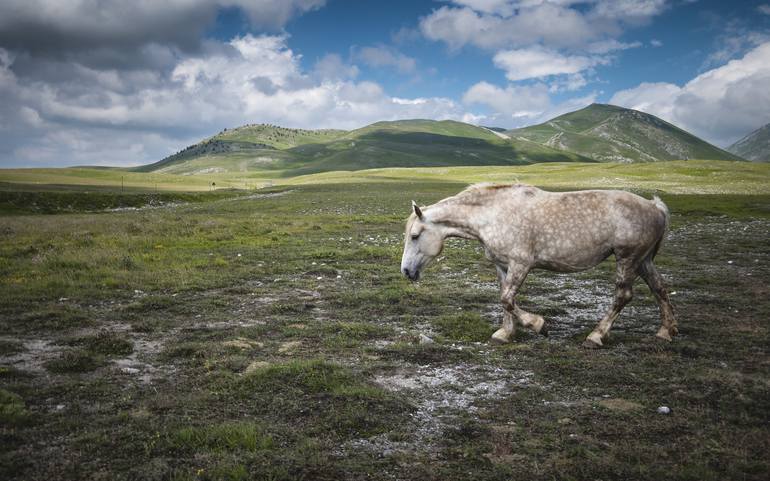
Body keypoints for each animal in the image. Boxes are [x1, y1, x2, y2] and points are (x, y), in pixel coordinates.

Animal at [400, 182, 676, 346]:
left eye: (414, 236)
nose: (406, 271)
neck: (492, 215)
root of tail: (656, 207)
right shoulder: (503, 266)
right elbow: (505, 298)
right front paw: (505, 333)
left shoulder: (521, 264)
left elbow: (507, 299)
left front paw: (539, 325)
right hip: (643, 261)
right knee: (660, 288)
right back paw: (666, 331)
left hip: (627, 258)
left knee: (623, 296)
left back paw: (595, 336)